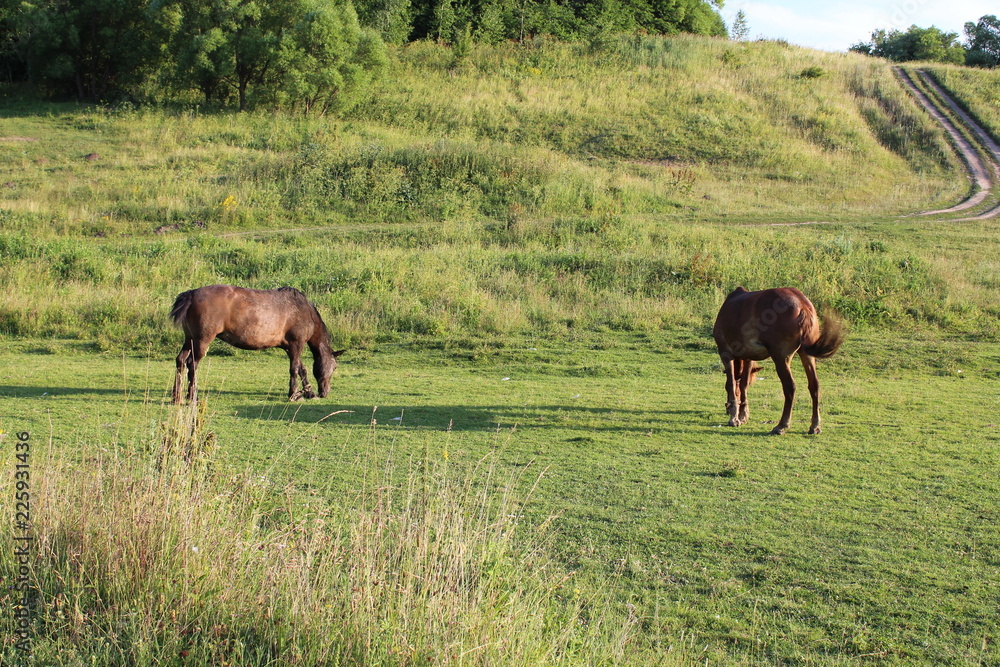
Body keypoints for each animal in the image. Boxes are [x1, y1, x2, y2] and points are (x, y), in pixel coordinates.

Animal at [170, 285, 345, 404]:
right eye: (335, 367)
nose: (325, 392)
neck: (304, 310)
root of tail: (190, 294)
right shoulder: (297, 344)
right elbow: (295, 369)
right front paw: (294, 395)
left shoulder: (290, 347)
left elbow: (302, 369)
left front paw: (309, 393)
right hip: (201, 341)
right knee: (192, 364)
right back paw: (192, 396)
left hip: (189, 340)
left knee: (180, 361)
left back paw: (177, 396)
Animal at [713, 287, 844, 435]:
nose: (727, 410)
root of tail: (802, 305)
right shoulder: (748, 357)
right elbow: (743, 384)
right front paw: (743, 414)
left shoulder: (725, 353)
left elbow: (731, 383)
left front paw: (734, 417)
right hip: (807, 355)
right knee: (814, 385)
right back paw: (815, 425)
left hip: (781, 358)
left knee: (790, 387)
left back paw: (782, 425)